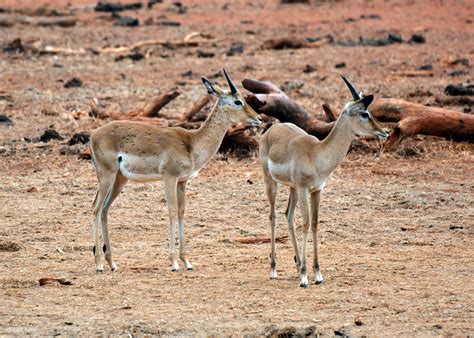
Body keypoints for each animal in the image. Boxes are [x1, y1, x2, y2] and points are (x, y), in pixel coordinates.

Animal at [88, 70, 260, 274]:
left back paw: (112, 263)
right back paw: (98, 264)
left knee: (105, 209)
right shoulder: (169, 178)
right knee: (96, 208)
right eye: (237, 101)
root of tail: (93, 134)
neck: (192, 143)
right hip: (107, 175)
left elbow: (181, 212)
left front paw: (186, 261)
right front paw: (174, 263)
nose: (258, 118)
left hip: (119, 179)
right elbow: (171, 211)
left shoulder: (182, 181)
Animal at [260, 76, 388, 288]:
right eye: (364, 113)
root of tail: (271, 129)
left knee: (288, 215)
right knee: (273, 216)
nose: (385, 131)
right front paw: (305, 278)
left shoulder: (317, 190)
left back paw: (297, 265)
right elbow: (305, 223)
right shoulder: (304, 188)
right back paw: (273, 270)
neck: (317, 153)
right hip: (271, 181)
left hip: (293, 189)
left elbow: (314, 224)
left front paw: (317, 274)